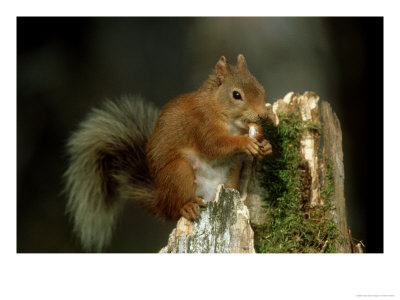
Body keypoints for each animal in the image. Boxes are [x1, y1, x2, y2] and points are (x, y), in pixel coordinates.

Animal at [65, 54, 276, 251]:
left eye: (261, 88)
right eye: (236, 95)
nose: (262, 115)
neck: (217, 107)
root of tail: (160, 200)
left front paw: (266, 145)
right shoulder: (201, 125)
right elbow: (214, 145)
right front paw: (245, 142)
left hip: (230, 177)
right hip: (178, 172)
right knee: (175, 209)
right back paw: (187, 206)